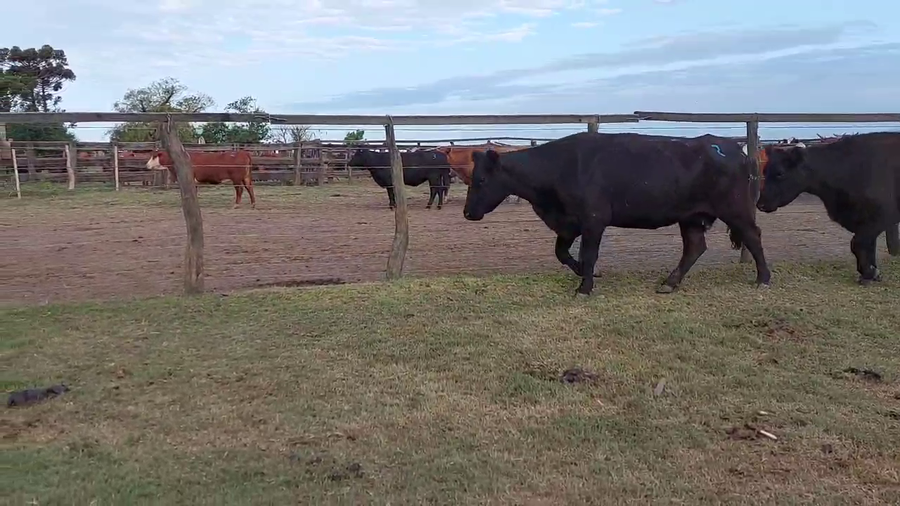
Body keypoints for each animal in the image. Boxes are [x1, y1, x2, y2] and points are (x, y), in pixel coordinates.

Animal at [462, 132, 770, 296]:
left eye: (481, 180)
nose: (467, 213)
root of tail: (733, 148)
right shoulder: (569, 223)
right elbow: (561, 253)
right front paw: (583, 273)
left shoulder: (593, 219)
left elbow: (589, 253)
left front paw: (585, 287)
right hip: (691, 217)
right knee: (695, 247)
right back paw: (669, 283)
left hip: (735, 209)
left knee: (753, 236)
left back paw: (763, 278)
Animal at [756, 132, 900, 284]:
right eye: (764, 172)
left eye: (780, 173)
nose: (760, 204)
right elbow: (867, 246)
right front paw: (870, 273)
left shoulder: (882, 216)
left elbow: (858, 243)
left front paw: (869, 273)